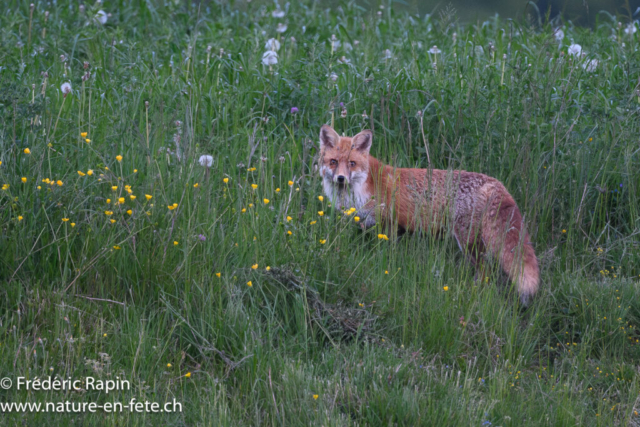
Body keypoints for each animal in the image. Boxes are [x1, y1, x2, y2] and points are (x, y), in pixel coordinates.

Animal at [318, 124, 540, 305]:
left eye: (352, 163)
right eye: (333, 162)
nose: (340, 178)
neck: (364, 185)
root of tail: (495, 182)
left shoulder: (389, 224)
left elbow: (388, 255)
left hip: (467, 241)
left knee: (486, 272)